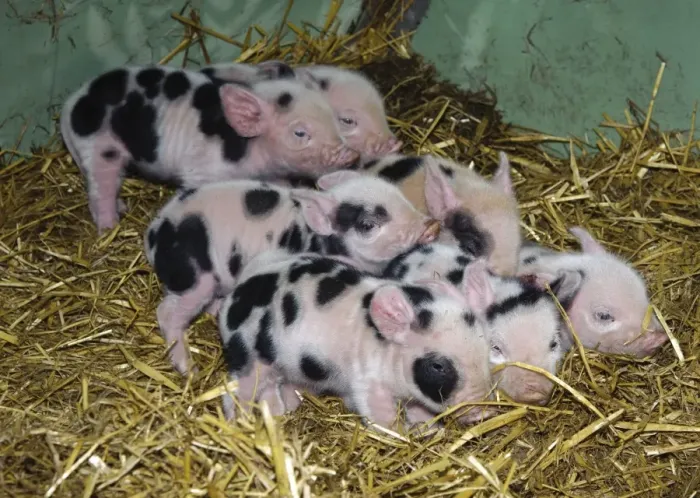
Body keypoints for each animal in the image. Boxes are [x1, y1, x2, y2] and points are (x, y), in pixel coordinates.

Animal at [59, 64, 357, 232]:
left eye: (333, 117)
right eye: (300, 133)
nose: (349, 154)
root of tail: (73, 102)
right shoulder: (202, 172)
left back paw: (121, 208)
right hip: (99, 148)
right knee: (100, 188)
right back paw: (109, 228)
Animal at [144, 170, 440, 374]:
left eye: (398, 195)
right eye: (368, 225)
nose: (431, 225)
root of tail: (154, 232)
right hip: (195, 278)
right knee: (167, 312)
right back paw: (188, 369)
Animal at [218, 250, 496, 429]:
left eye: (486, 349)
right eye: (438, 366)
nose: (484, 412)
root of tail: (238, 291)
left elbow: (419, 408)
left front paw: (427, 427)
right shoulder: (367, 380)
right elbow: (379, 413)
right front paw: (398, 433)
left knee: (271, 389)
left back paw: (281, 413)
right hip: (248, 356)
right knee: (237, 391)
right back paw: (239, 424)